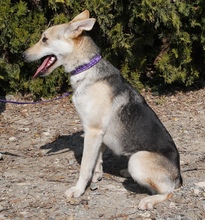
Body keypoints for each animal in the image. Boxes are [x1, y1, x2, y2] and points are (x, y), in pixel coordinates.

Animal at [23, 10, 182, 210]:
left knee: (168, 191)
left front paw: (78, 190)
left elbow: (85, 166)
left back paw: (149, 200)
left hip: (138, 160)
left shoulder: (92, 132)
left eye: (44, 39)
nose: (22, 55)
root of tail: (178, 175)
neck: (85, 69)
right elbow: (97, 159)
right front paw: (97, 176)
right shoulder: (98, 135)